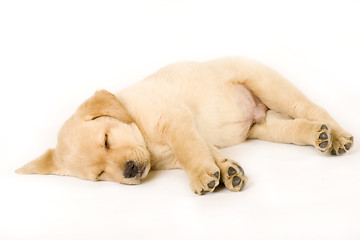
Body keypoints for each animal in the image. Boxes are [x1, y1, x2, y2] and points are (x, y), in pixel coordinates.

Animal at [15, 57, 352, 195]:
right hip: (265, 126)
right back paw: (319, 135)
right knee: (296, 128)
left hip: (268, 85)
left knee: (310, 108)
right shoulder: (190, 140)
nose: (129, 171)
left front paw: (203, 176)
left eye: (107, 140)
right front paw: (226, 172)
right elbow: (206, 152)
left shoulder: (176, 122)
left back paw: (338, 137)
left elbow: (190, 150)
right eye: (99, 175)